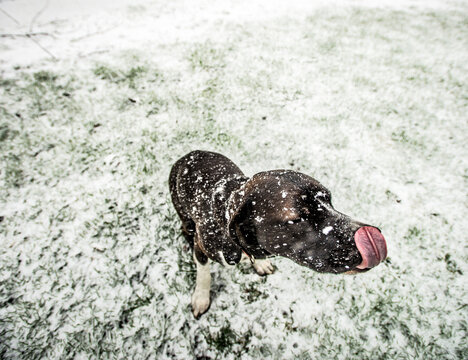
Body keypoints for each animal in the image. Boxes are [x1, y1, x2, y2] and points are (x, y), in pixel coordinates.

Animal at [169, 150, 388, 316]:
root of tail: (190, 153)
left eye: (329, 200)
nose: (371, 233)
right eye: (298, 218)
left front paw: (260, 262)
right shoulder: (202, 247)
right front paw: (201, 297)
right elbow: (203, 273)